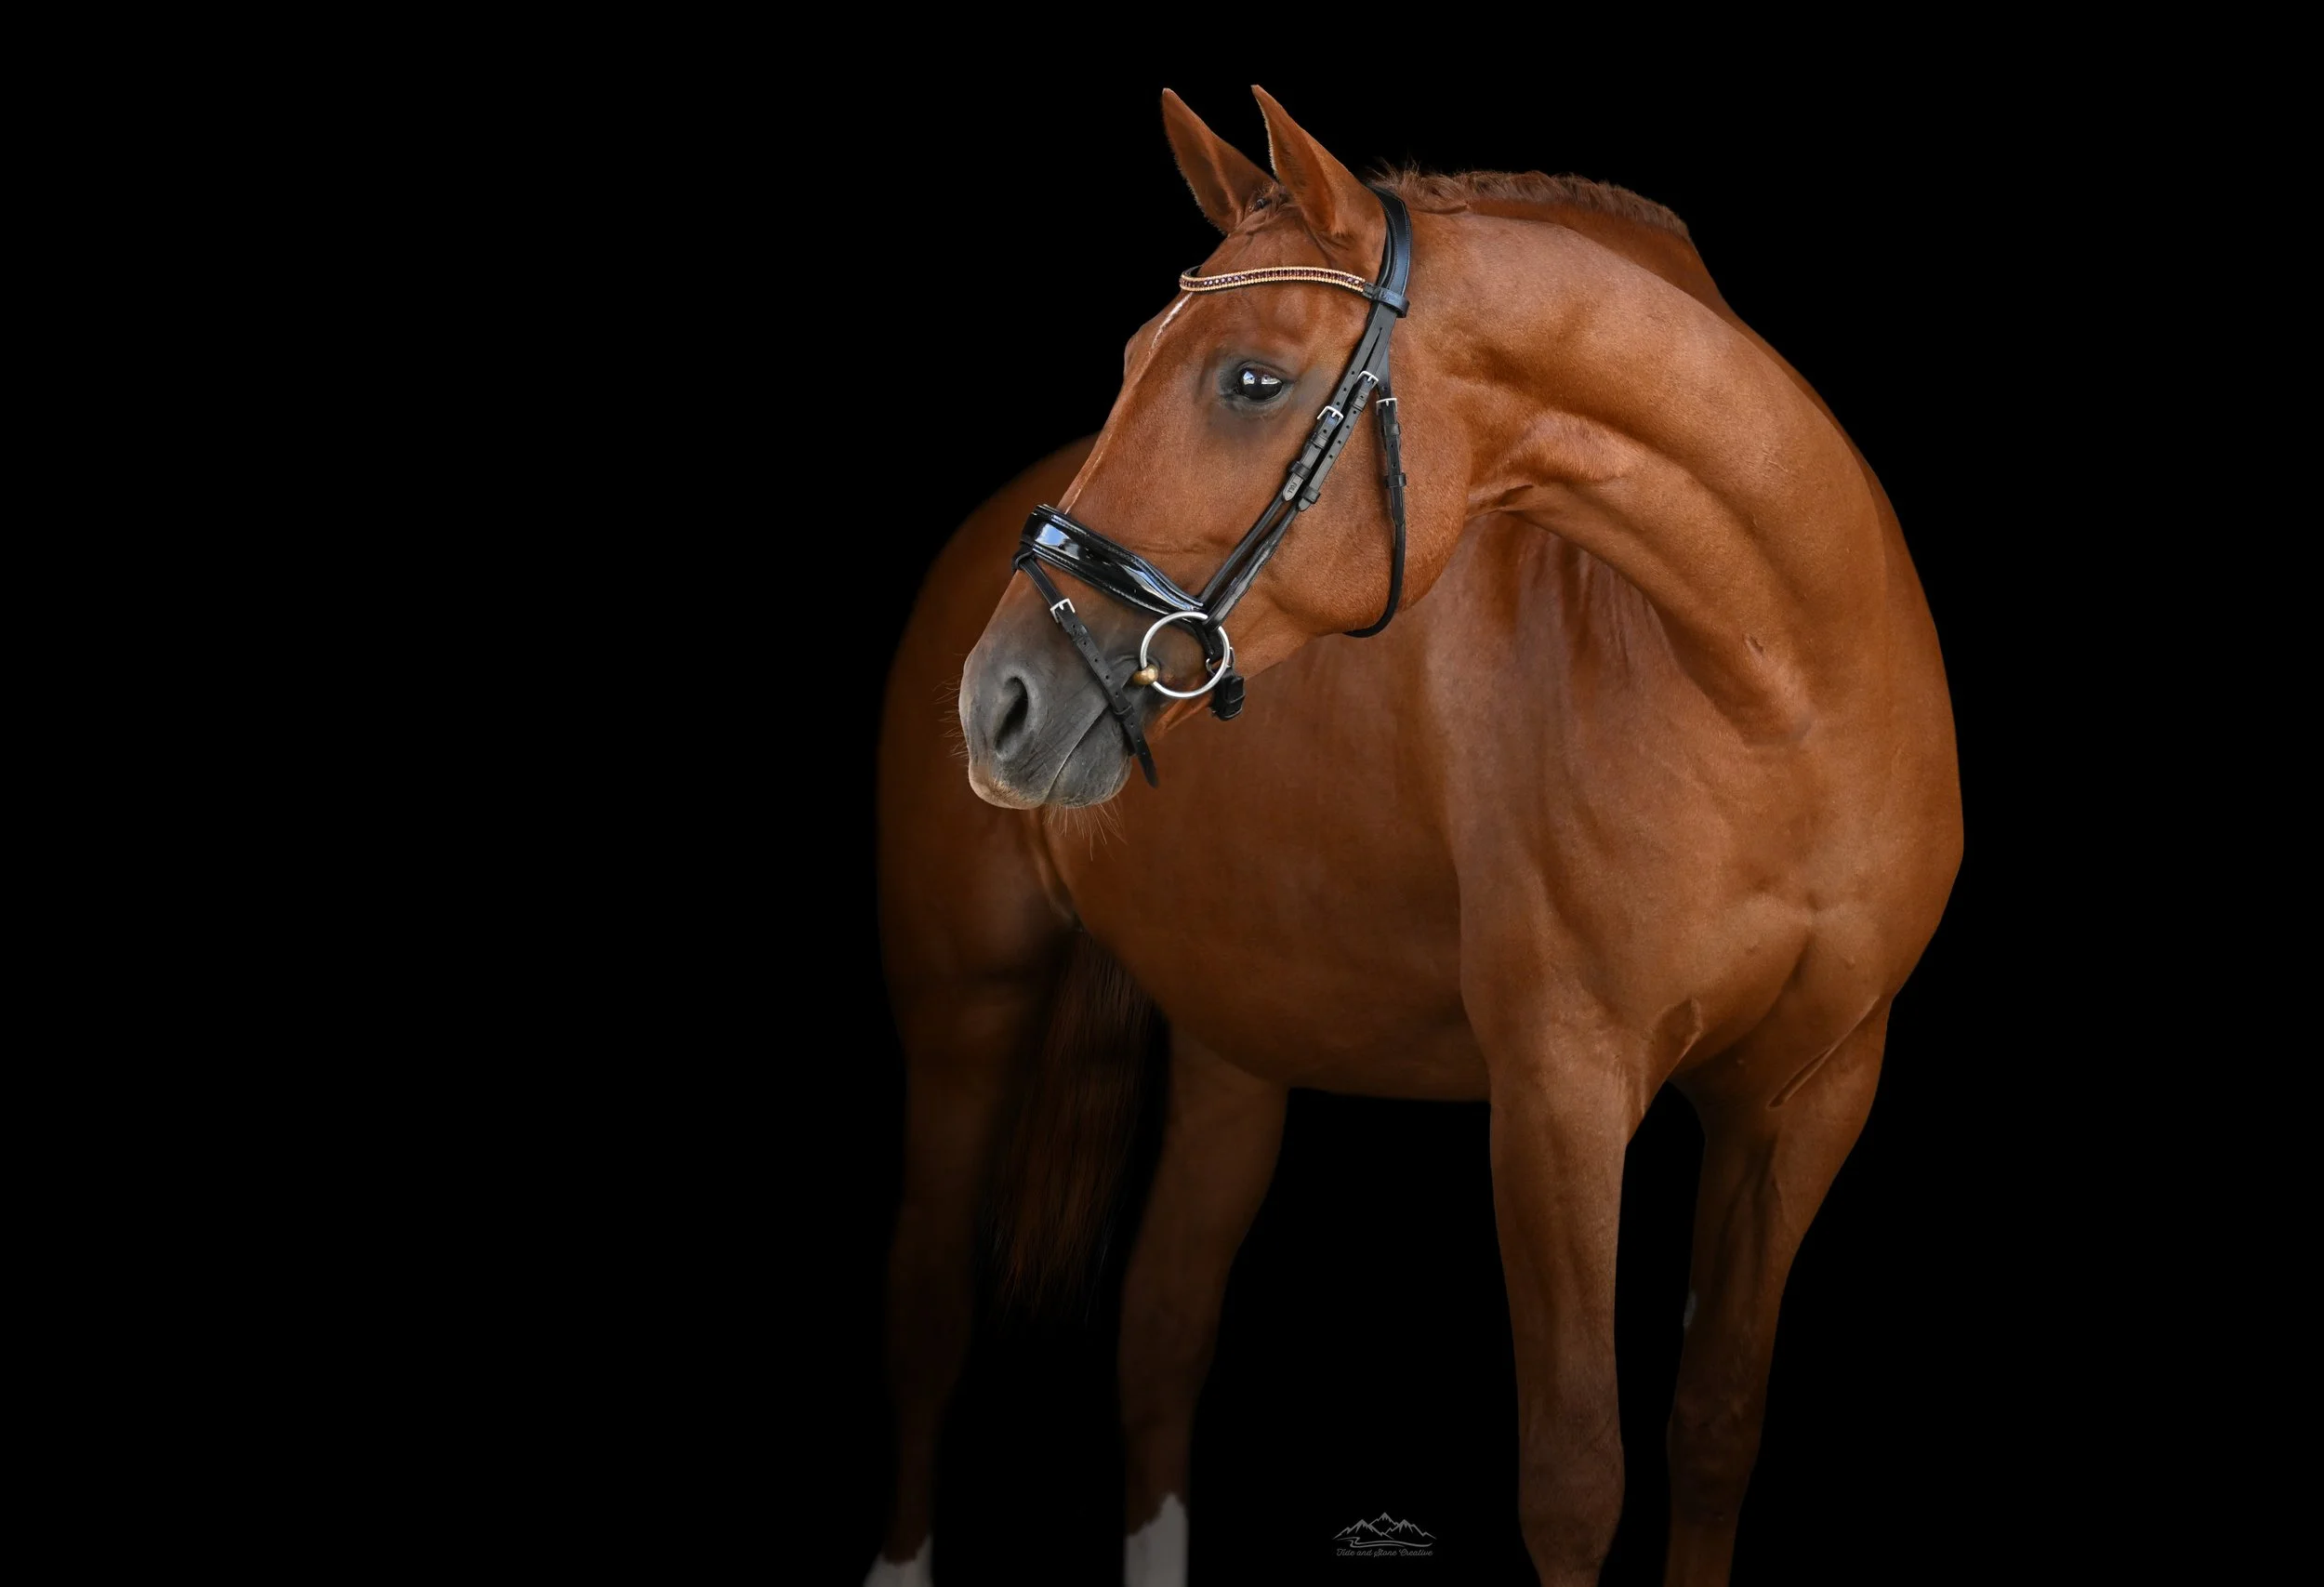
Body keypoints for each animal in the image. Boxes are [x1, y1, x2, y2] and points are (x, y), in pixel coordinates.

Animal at [867, 86, 1961, 1587]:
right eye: (1135, 356)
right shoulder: (1559, 1092)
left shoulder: (1810, 1095)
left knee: (1160, 1335)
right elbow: (1575, 1476)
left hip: (1235, 1045)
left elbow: (1714, 1431)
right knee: (929, 1312)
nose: (999, 701)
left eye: (1250, 380)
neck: (1777, 695)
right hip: (970, 1003)